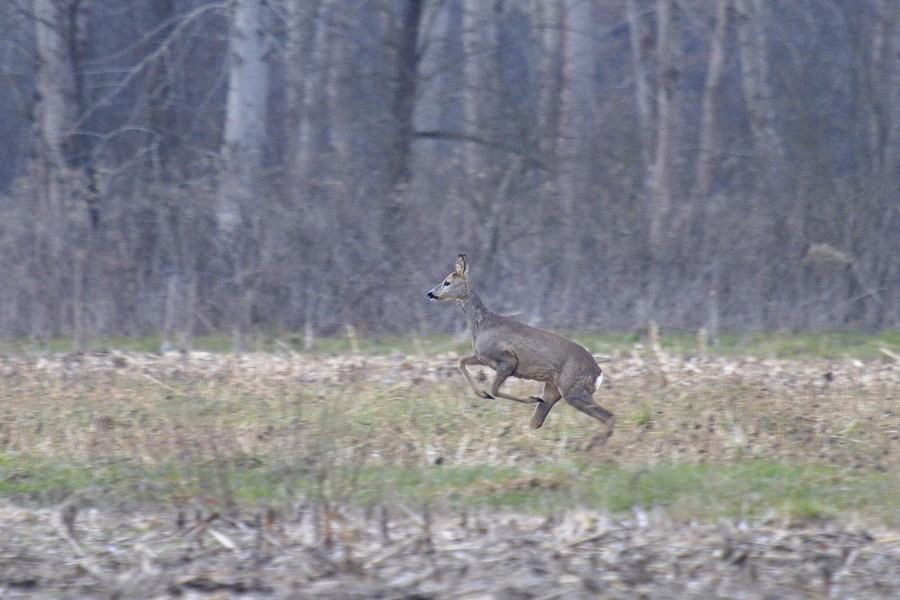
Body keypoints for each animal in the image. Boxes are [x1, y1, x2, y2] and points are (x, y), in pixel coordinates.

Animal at [428, 253, 612, 446]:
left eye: (447, 282)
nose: (430, 293)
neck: (482, 325)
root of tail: (598, 372)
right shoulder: (483, 357)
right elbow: (461, 361)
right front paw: (482, 394)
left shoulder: (507, 359)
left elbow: (494, 389)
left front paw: (525, 397)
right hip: (554, 387)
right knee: (537, 421)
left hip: (573, 389)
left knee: (609, 416)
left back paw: (592, 444)